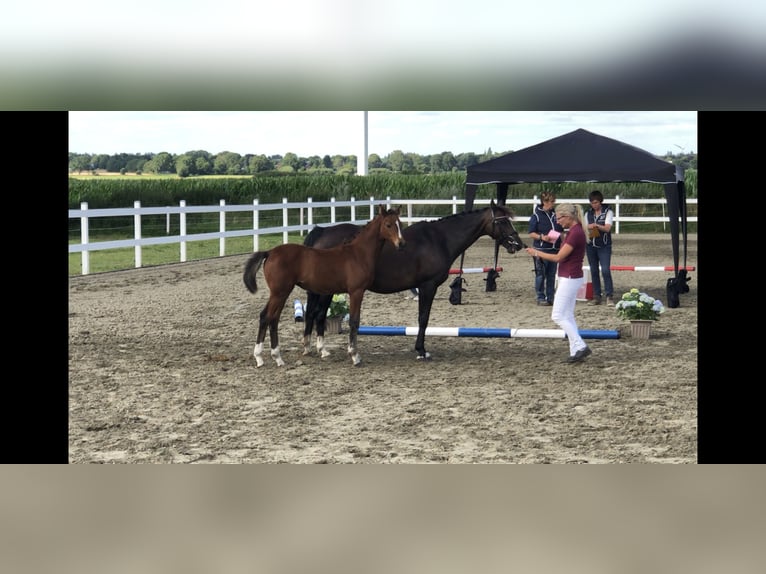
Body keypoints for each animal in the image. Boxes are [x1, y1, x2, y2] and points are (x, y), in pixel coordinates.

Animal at [244, 207, 408, 368]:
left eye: (400, 224)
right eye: (388, 224)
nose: (401, 244)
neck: (358, 254)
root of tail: (269, 252)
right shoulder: (356, 292)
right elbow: (354, 321)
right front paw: (354, 356)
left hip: (281, 293)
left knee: (272, 318)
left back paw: (273, 357)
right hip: (280, 292)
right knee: (267, 317)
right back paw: (264, 357)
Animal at [304, 201, 524, 360]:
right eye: (502, 221)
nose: (518, 244)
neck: (440, 239)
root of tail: (322, 231)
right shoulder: (427, 286)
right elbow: (423, 318)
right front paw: (421, 350)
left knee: (314, 314)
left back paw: (315, 349)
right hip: (327, 291)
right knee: (319, 314)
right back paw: (321, 349)